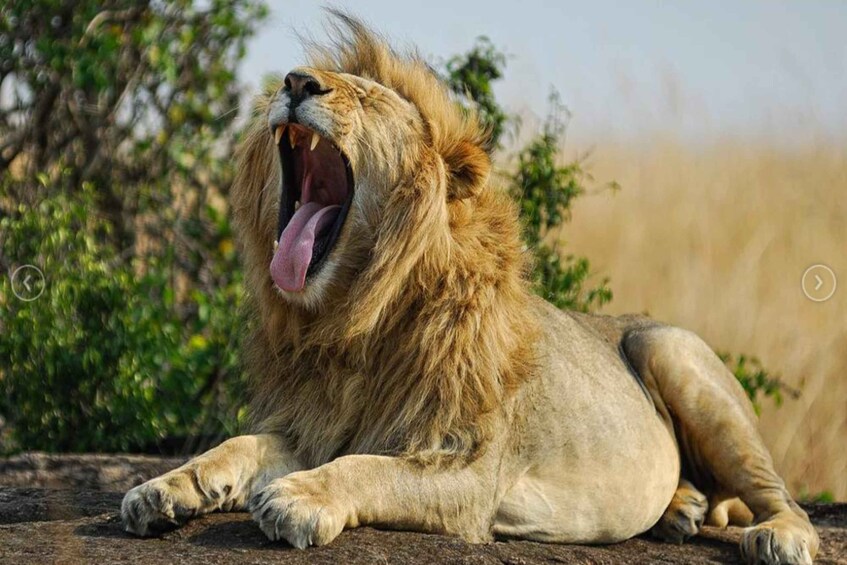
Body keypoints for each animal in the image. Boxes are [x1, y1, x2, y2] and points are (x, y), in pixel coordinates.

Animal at [121, 12, 818, 564]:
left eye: (369, 100)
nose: (295, 83)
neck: (358, 319)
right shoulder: (317, 423)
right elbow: (236, 444)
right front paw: (165, 488)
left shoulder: (472, 473)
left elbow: (369, 469)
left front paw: (297, 497)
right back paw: (682, 509)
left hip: (675, 355)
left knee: (779, 496)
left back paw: (777, 536)